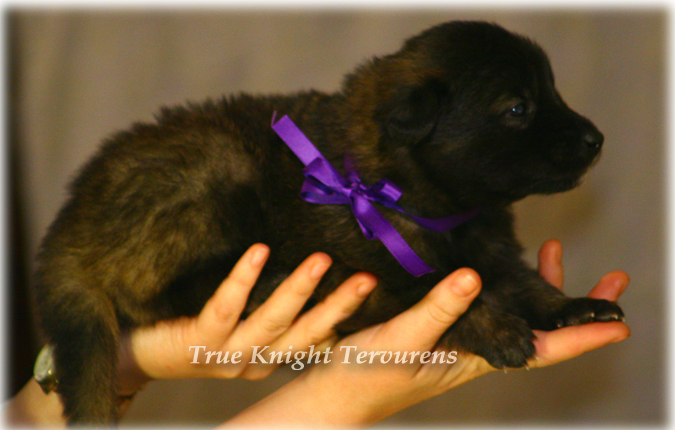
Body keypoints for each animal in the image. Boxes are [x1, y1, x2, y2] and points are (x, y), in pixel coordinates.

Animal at [32, 21, 624, 424]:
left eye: (552, 92)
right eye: (518, 109)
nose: (597, 139)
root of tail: (70, 226)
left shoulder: (491, 248)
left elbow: (527, 284)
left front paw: (574, 306)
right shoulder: (363, 272)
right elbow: (433, 288)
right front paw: (496, 329)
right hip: (209, 177)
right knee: (155, 296)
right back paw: (264, 282)